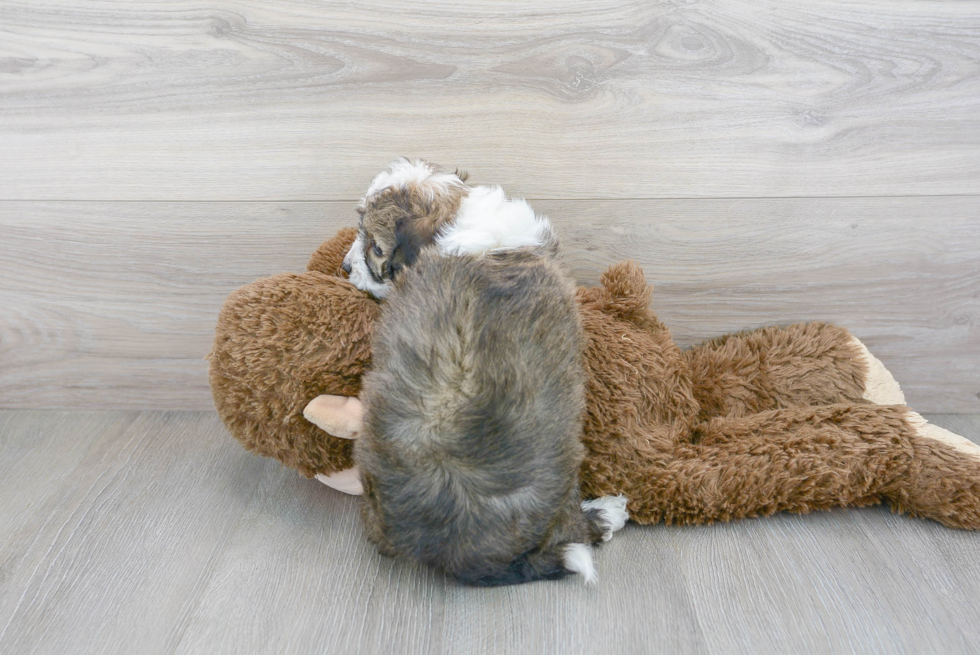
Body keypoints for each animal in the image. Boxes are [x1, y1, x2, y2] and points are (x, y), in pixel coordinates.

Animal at [356, 201, 624, 588]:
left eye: (375, 248)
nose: (346, 268)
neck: (484, 243)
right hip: (562, 475)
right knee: (572, 529)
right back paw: (606, 514)